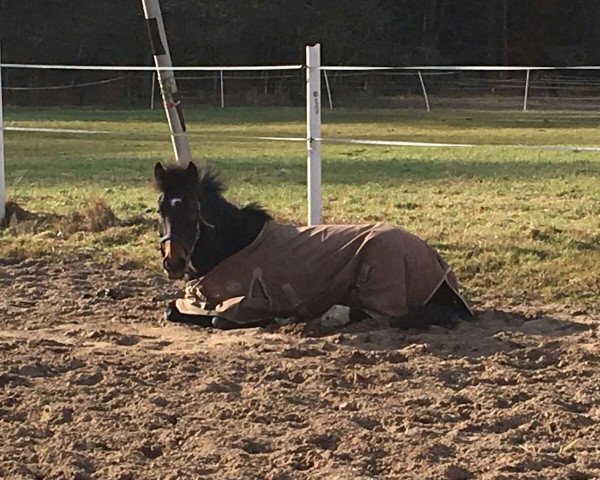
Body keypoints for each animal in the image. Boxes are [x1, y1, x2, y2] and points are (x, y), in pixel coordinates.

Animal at [155, 161, 474, 330]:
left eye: (194, 210)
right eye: (160, 210)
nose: (174, 263)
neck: (238, 242)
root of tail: (436, 261)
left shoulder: (248, 302)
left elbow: (216, 321)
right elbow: (171, 310)